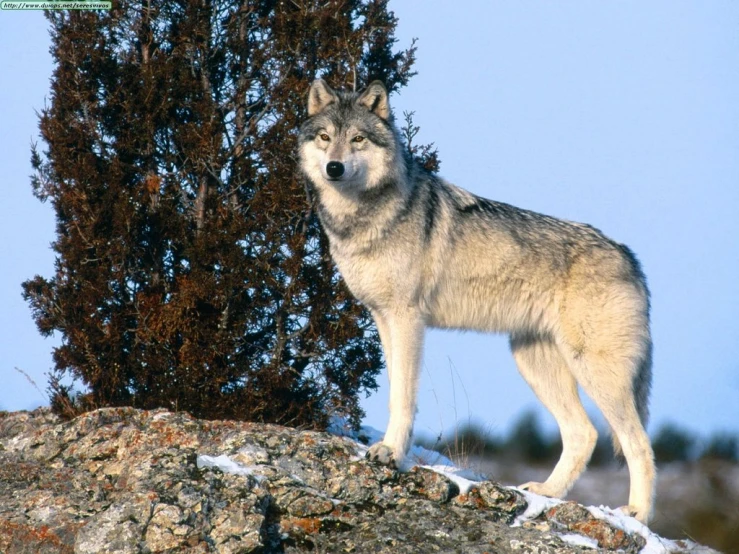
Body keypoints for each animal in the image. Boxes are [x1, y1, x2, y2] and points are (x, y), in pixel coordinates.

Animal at [298, 78, 656, 520]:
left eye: (358, 139)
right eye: (325, 137)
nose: (334, 168)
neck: (363, 216)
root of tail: (629, 256)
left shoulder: (407, 319)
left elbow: (404, 398)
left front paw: (391, 454)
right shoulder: (383, 318)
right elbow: (395, 392)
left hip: (595, 372)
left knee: (639, 443)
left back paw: (637, 515)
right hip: (533, 362)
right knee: (583, 433)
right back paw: (547, 492)